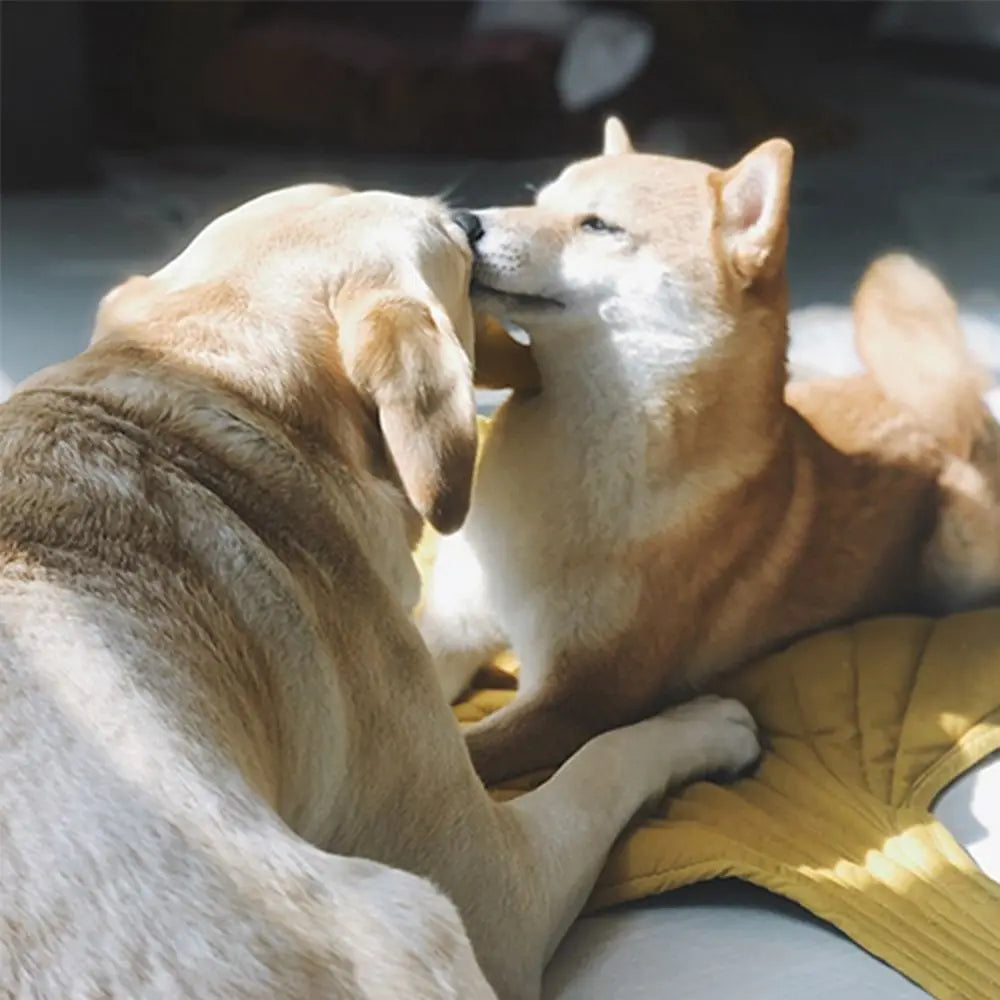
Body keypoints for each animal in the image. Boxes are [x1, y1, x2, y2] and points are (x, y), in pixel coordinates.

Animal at [0, 182, 756, 1000]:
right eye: (450, 245)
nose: (473, 221)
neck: (227, 392)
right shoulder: (498, 887)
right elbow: (601, 759)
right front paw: (703, 724)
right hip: (421, 913)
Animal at [422, 117, 1000, 784]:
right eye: (539, 201)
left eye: (598, 225)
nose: (464, 220)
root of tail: (966, 417)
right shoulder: (452, 630)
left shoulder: (578, 700)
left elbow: (461, 757)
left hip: (962, 551)